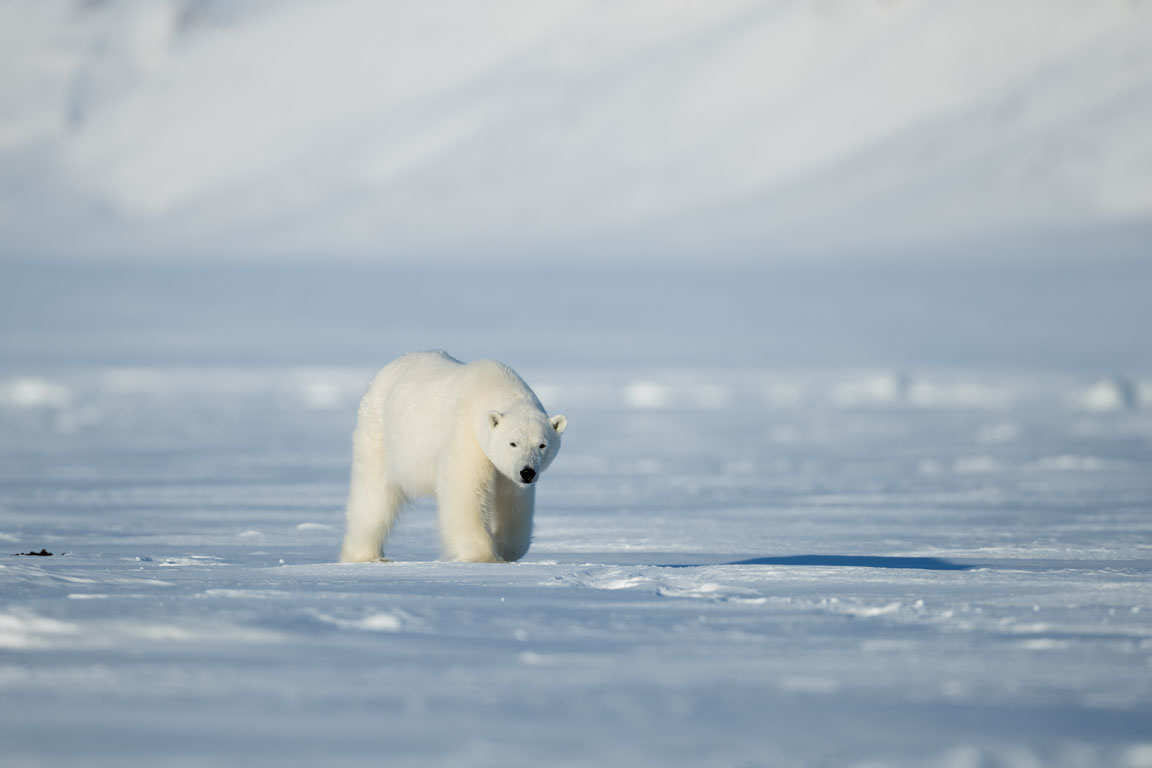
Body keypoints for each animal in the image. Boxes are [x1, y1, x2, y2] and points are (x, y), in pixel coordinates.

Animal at [336, 352, 566, 564]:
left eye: (542, 445)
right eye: (512, 443)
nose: (527, 472)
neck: (494, 387)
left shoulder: (507, 472)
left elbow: (512, 502)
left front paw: (504, 548)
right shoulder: (466, 435)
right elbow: (467, 491)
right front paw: (484, 556)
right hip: (379, 435)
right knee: (374, 495)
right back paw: (367, 556)